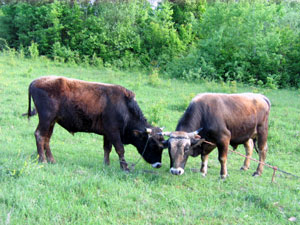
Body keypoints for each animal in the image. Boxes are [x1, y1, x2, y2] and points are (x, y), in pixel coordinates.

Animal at [24, 76, 165, 171]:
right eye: (154, 145)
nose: (159, 165)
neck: (125, 107)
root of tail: (35, 81)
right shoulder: (113, 132)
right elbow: (120, 149)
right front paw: (124, 167)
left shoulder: (107, 134)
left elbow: (107, 149)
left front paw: (106, 164)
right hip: (46, 119)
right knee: (40, 135)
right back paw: (43, 160)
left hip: (52, 122)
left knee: (46, 139)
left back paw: (51, 160)